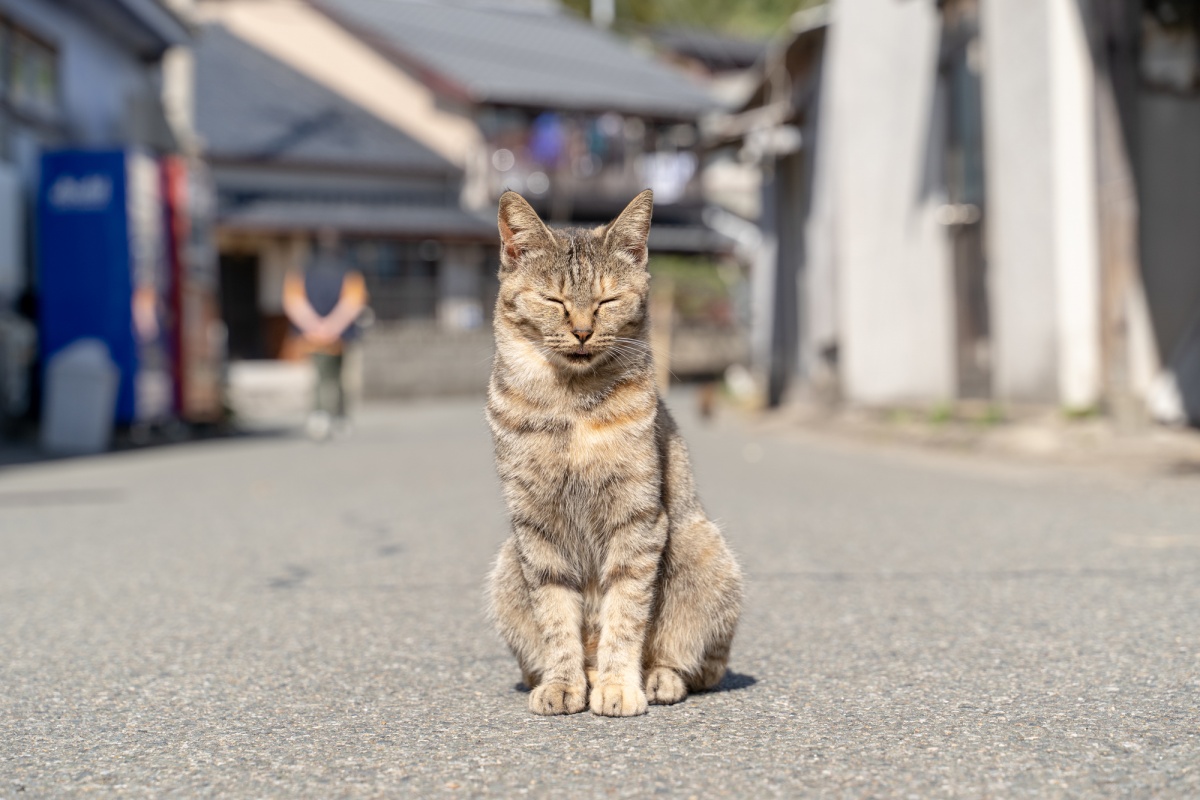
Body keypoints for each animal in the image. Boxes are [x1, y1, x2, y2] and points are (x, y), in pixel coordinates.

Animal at [484, 189, 739, 719]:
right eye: (554, 300)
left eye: (607, 300)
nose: (582, 330)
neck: (571, 405)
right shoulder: (536, 529)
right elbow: (557, 619)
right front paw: (565, 683)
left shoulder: (637, 520)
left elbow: (625, 615)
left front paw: (619, 685)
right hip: (507, 566)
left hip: (703, 548)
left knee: (700, 665)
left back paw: (658, 679)